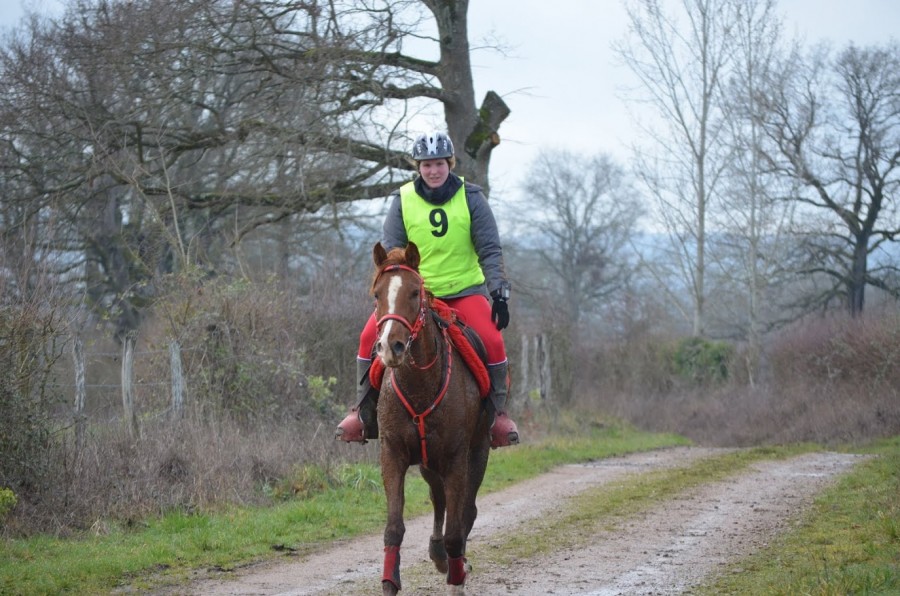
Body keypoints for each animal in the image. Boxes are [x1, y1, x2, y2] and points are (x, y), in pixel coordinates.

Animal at [368, 242, 492, 596]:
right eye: (377, 294)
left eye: (414, 292)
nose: (390, 347)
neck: (420, 384)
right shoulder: (393, 454)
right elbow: (394, 528)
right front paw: (390, 583)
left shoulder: (456, 458)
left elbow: (456, 528)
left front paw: (456, 580)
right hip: (427, 462)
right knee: (439, 499)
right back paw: (438, 555)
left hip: (477, 452)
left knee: (465, 511)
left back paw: (455, 561)